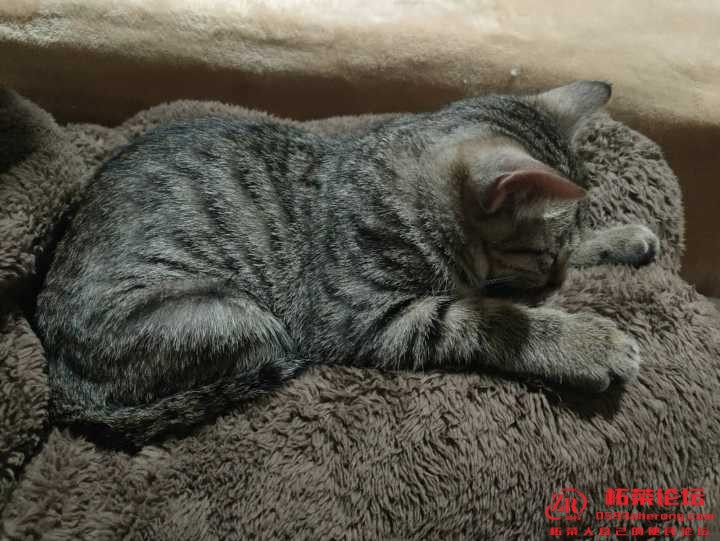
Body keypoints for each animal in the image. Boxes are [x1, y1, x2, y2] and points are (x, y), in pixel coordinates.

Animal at [35, 81, 660, 446]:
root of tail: (58, 375)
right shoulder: (369, 317)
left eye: (557, 256)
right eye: (541, 255)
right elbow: (491, 320)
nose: (557, 279)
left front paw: (622, 237)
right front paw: (585, 343)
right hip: (239, 316)